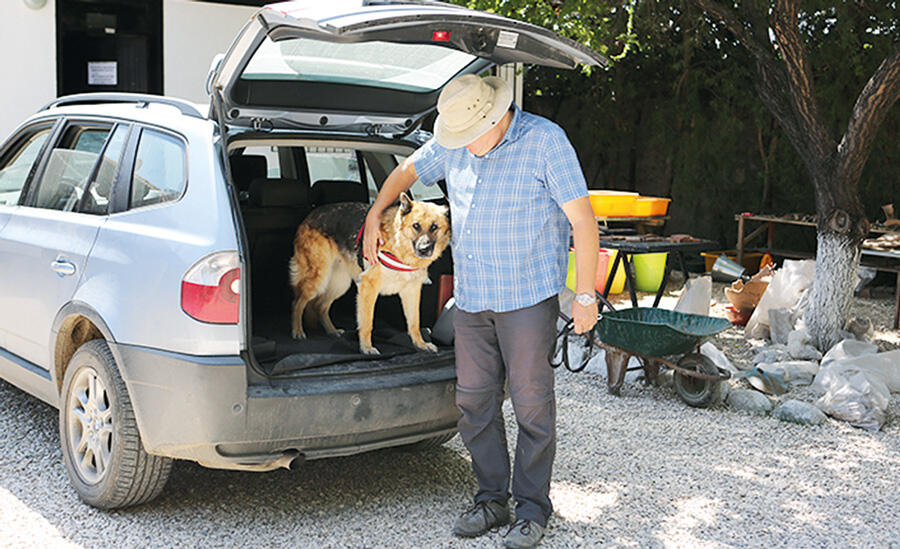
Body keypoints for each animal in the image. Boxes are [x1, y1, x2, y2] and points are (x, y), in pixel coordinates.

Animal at [288, 195, 450, 354]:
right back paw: (297, 331)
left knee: (319, 306)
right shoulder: (368, 287)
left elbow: (414, 322)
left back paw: (332, 331)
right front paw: (366, 347)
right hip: (318, 278)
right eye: (416, 226)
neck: (400, 247)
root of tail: (310, 215)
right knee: (297, 302)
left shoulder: (411, 291)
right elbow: (367, 323)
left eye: (434, 227)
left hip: (340, 284)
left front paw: (421, 344)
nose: (424, 249)